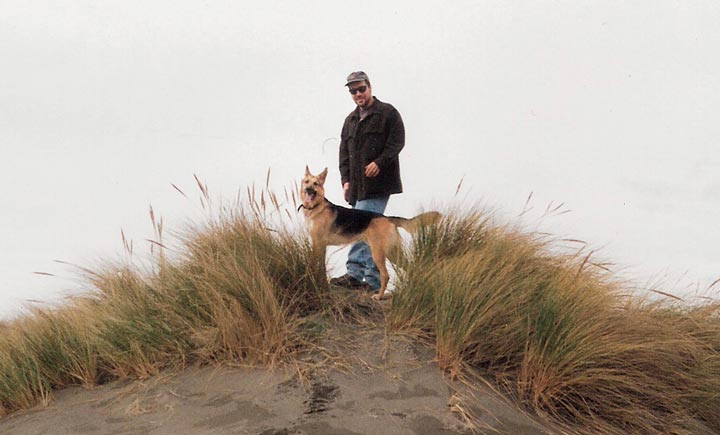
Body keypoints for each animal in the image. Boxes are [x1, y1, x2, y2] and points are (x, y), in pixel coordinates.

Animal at [296, 165, 438, 302]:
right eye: (306, 182)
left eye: (316, 184)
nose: (308, 190)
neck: (315, 206)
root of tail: (388, 218)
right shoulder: (319, 244)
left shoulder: (319, 243)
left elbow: (319, 266)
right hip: (392, 252)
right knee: (411, 268)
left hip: (378, 253)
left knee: (385, 275)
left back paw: (379, 296)